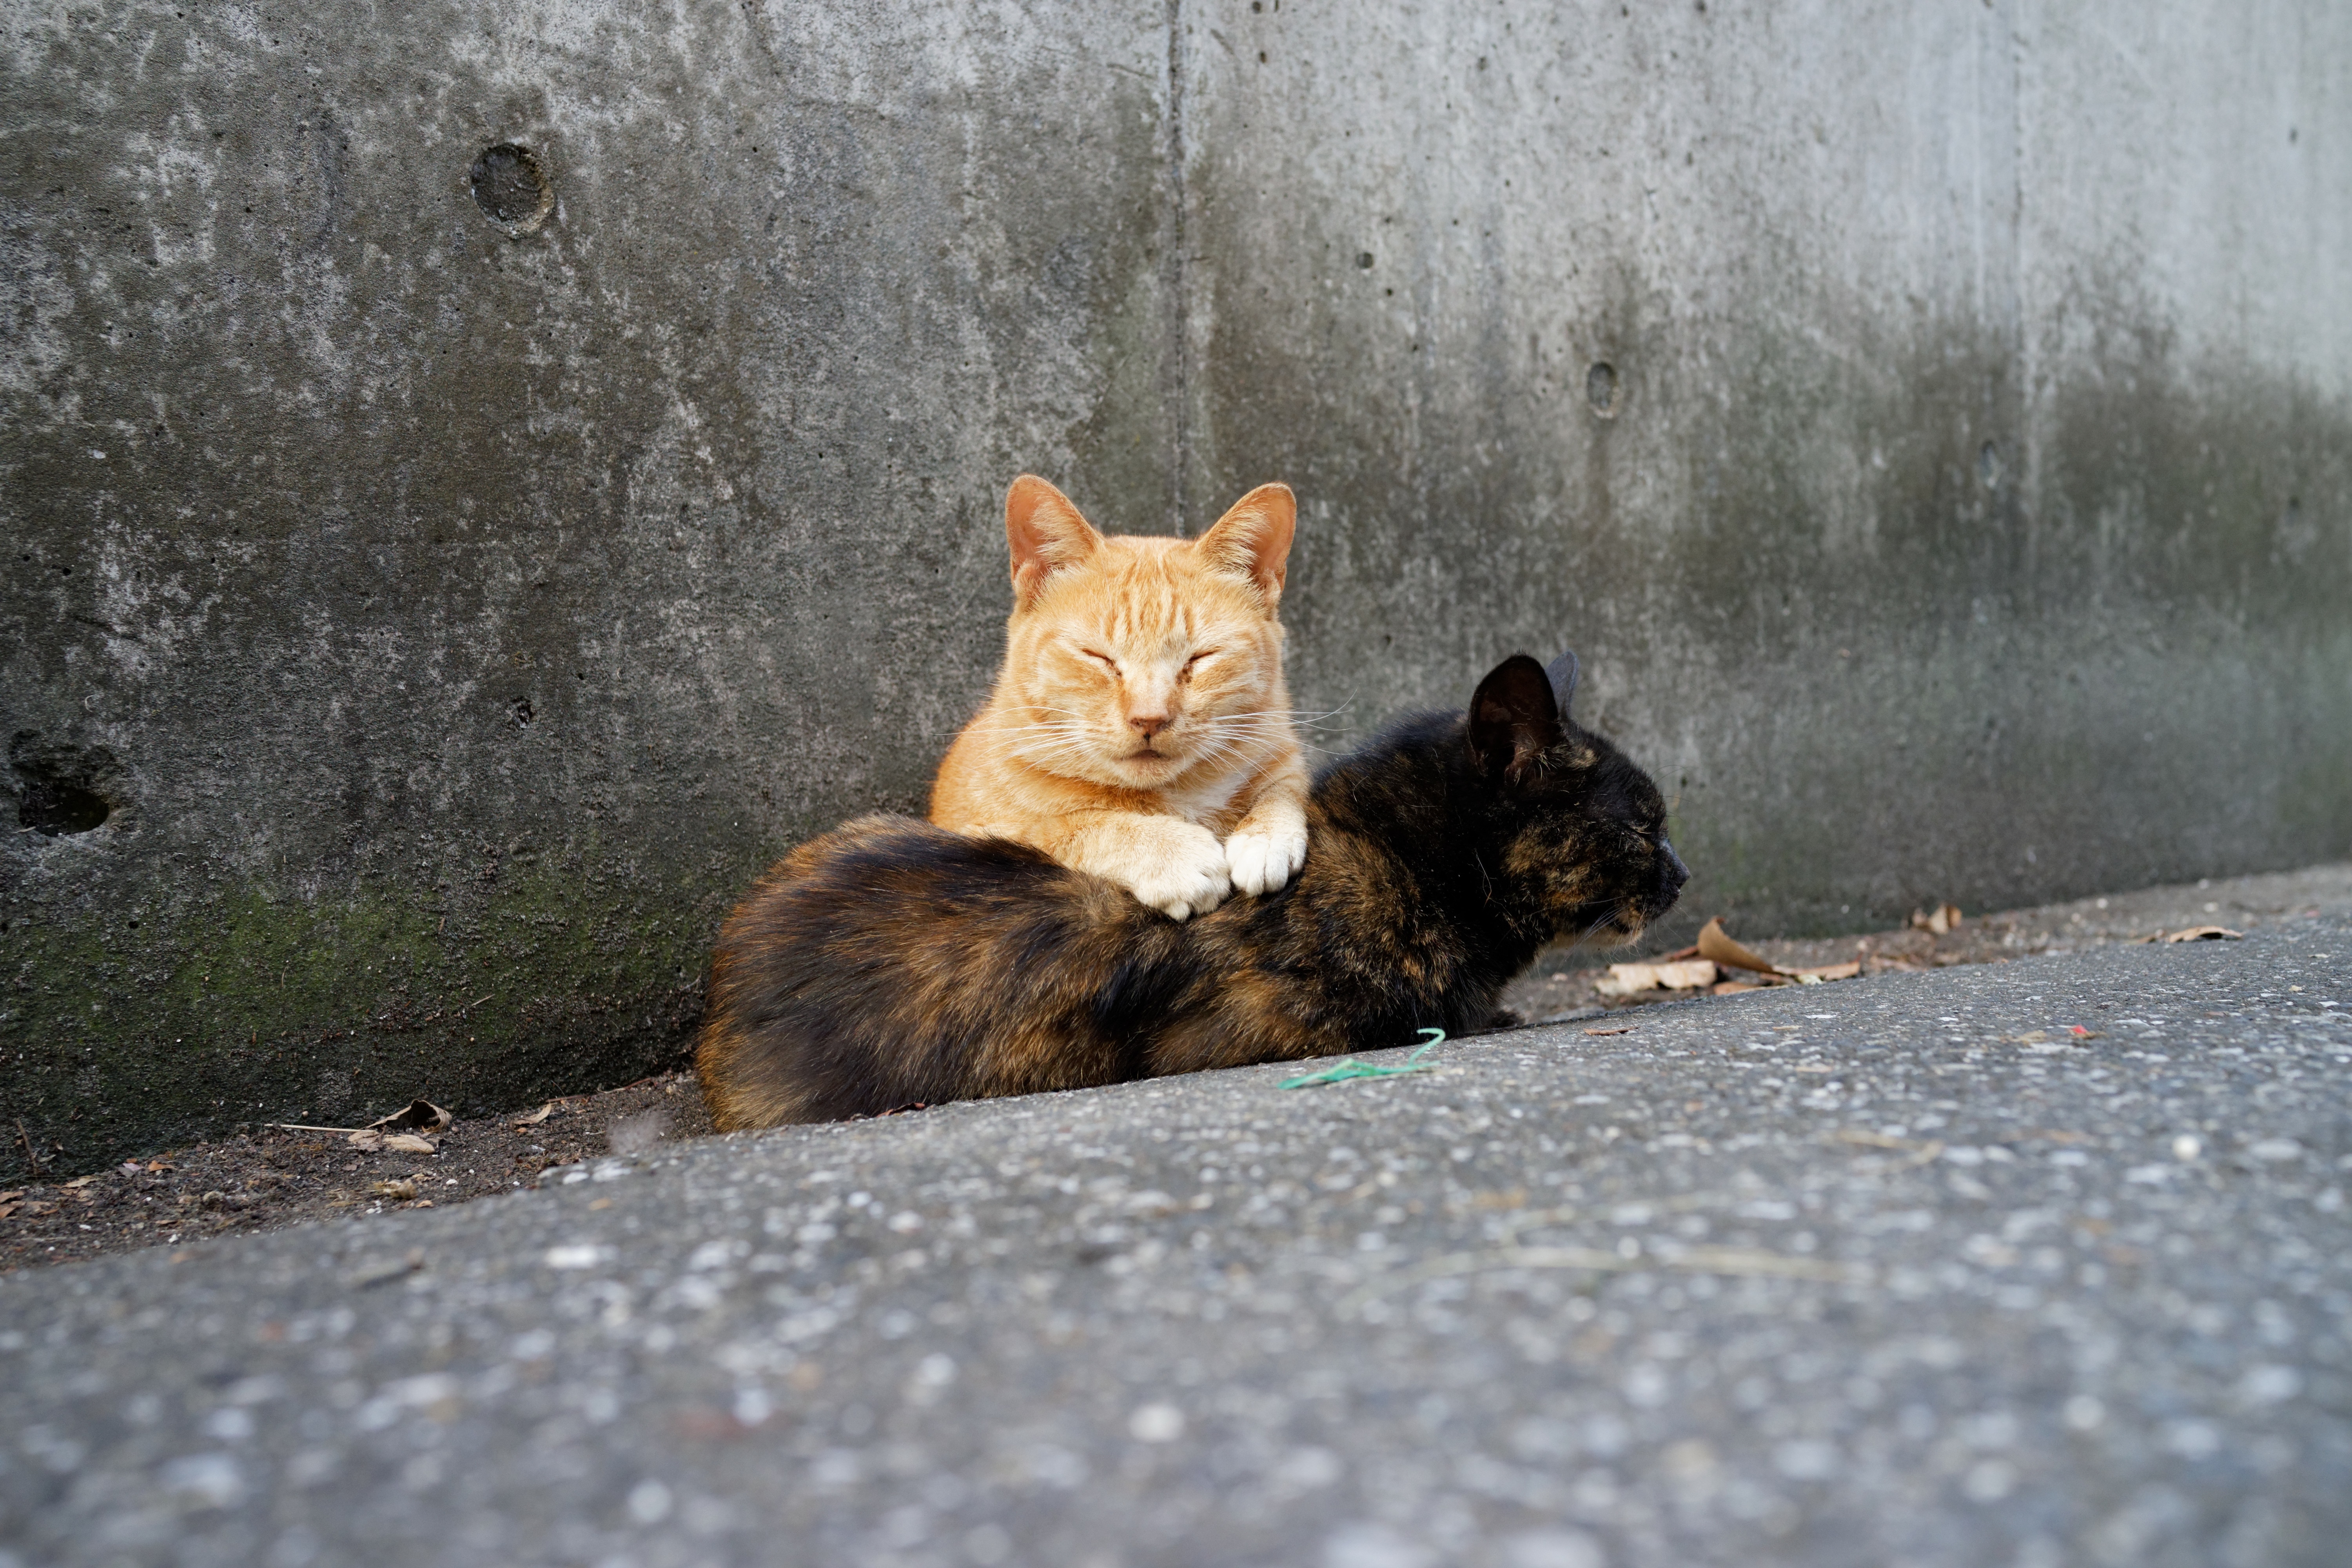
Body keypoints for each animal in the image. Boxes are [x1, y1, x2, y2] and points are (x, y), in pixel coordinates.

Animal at [927, 475, 1317, 921]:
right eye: (1099, 658)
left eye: (1199, 658)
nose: (1150, 719)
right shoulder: (972, 841)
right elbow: (1068, 825)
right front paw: (1172, 854)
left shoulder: (1282, 753)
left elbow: (1284, 788)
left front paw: (1265, 837)